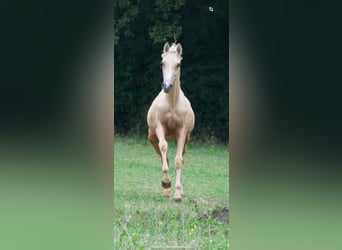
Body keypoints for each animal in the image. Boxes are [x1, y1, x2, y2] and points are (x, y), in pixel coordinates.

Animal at [147, 42, 195, 202]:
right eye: (162, 63)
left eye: (178, 64)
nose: (167, 86)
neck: (172, 104)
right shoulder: (159, 129)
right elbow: (164, 149)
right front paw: (167, 183)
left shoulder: (182, 133)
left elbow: (178, 161)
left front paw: (178, 194)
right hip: (152, 138)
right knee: (165, 158)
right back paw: (166, 190)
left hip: (186, 141)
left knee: (181, 160)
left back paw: (179, 191)